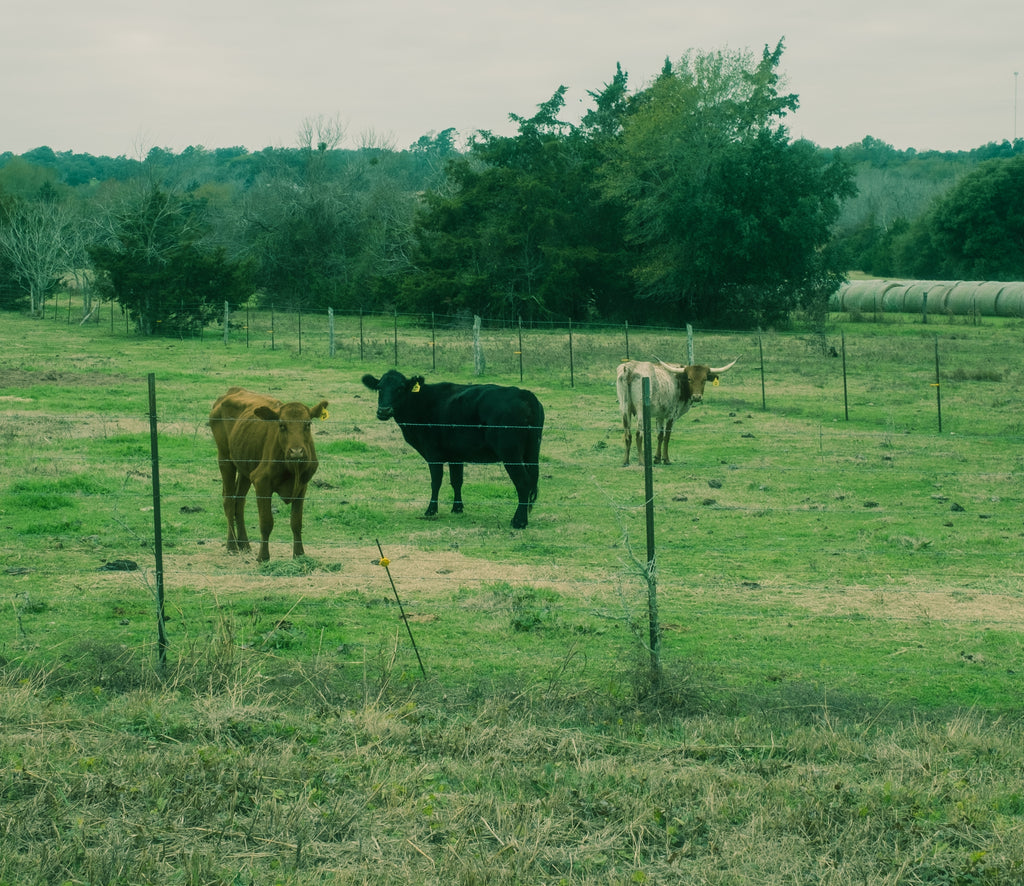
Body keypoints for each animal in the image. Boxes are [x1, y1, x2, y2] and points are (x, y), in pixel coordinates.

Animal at [210, 385, 329, 561]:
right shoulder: (262, 482)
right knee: (229, 501)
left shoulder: (302, 486)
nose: (297, 452)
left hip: (245, 467)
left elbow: (296, 522)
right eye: (282, 425)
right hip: (225, 459)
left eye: (307, 424)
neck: (292, 469)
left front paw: (299, 555)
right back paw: (232, 545)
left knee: (239, 501)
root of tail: (232, 391)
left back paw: (244, 544)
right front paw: (263, 557)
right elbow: (266, 522)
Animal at [364, 366, 548, 524]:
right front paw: (457, 508)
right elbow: (457, 480)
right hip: (532, 451)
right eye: (379, 388)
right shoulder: (456, 455)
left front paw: (431, 510)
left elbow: (436, 481)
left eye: (400, 388)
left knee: (523, 482)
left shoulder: (432, 452)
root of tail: (525, 394)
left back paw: (519, 521)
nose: (384, 410)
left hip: (510, 452)